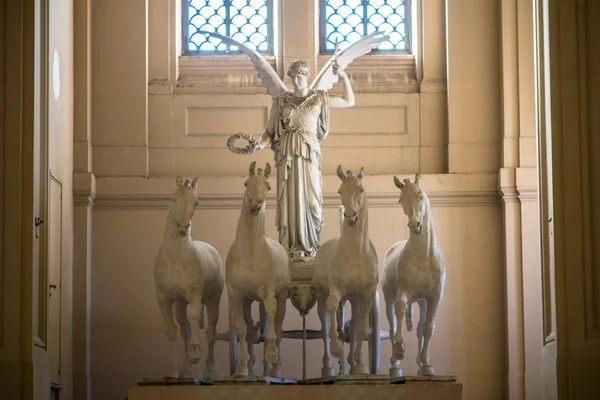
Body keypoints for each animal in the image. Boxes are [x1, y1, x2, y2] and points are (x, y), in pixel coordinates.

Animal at [155, 176, 225, 382]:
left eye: (196, 202)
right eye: (174, 199)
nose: (182, 228)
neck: (176, 259)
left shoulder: (194, 294)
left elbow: (194, 317)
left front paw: (195, 354)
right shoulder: (164, 297)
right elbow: (171, 330)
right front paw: (173, 370)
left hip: (212, 301)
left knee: (211, 333)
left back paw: (208, 370)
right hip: (179, 303)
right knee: (184, 330)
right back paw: (186, 372)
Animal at [225, 162, 290, 378]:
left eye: (268, 186)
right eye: (246, 182)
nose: (255, 203)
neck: (250, 256)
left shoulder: (268, 292)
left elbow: (272, 322)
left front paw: (270, 354)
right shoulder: (236, 294)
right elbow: (241, 329)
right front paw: (241, 367)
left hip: (282, 295)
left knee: (278, 327)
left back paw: (276, 368)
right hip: (249, 300)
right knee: (252, 330)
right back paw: (253, 366)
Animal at [312, 165, 378, 376]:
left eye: (360, 189)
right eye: (340, 191)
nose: (350, 216)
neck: (356, 254)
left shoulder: (367, 295)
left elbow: (361, 326)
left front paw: (359, 364)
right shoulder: (335, 289)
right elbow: (333, 307)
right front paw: (336, 348)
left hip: (354, 299)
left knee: (354, 323)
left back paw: (353, 362)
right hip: (321, 296)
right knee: (324, 325)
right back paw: (328, 367)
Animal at [382, 173, 442, 376]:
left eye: (420, 196)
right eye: (401, 199)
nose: (415, 224)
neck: (422, 258)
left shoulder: (434, 297)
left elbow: (428, 328)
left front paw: (426, 365)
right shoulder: (403, 291)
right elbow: (400, 310)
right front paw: (399, 351)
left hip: (422, 302)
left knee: (419, 328)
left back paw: (420, 362)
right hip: (388, 297)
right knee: (392, 324)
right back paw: (394, 365)